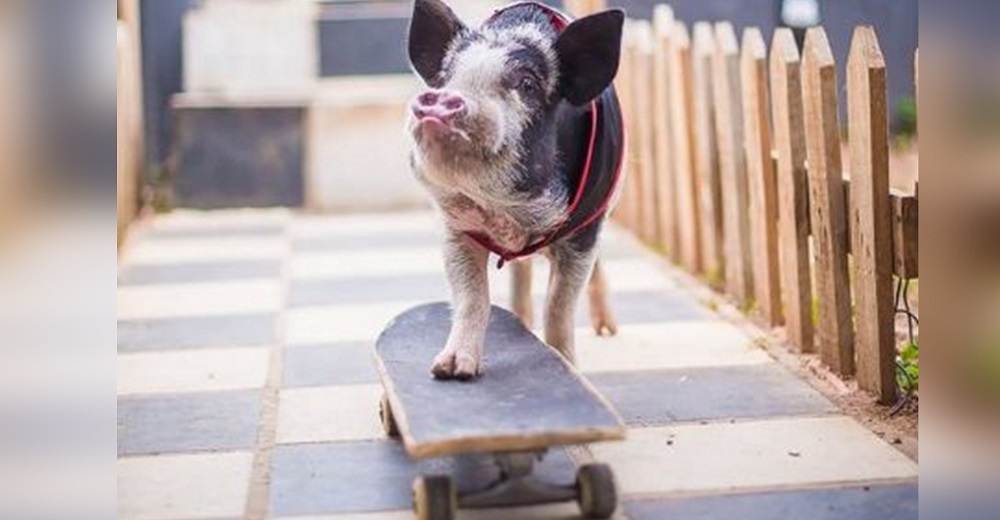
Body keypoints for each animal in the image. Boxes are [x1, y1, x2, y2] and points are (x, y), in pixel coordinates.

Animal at [404, 1, 624, 382]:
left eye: (527, 84)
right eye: (447, 77)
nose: (443, 98)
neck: (509, 214)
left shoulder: (583, 233)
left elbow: (559, 307)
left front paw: (569, 367)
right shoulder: (457, 229)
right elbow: (472, 296)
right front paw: (450, 371)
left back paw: (607, 330)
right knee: (520, 274)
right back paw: (523, 323)